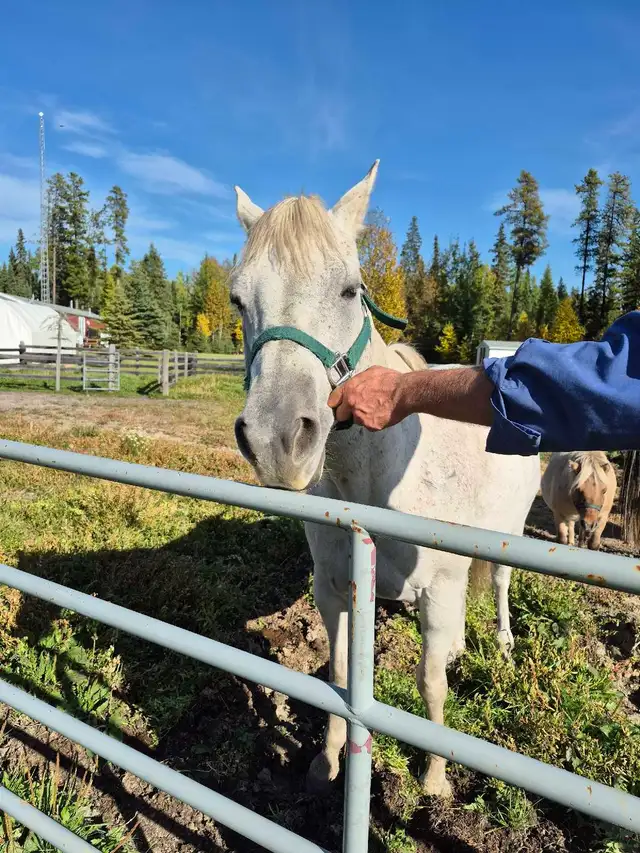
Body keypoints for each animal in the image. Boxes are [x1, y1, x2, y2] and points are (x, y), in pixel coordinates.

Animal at [231, 161, 540, 799]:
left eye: (351, 290)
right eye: (238, 300)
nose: (276, 440)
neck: (377, 485)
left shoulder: (439, 594)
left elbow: (430, 684)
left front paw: (436, 778)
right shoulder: (334, 590)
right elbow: (339, 675)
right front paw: (326, 763)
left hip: (512, 534)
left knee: (499, 583)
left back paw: (501, 643)